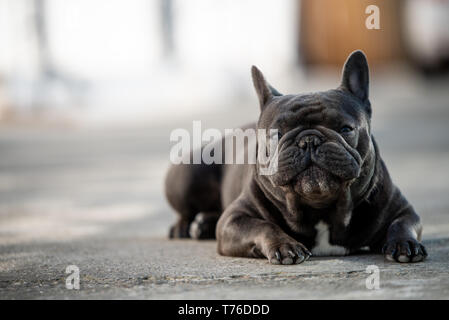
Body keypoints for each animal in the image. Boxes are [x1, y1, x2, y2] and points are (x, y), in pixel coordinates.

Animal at [165, 50, 428, 264]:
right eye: (277, 134)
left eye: (345, 129)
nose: (308, 140)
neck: (321, 209)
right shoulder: (234, 220)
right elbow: (263, 226)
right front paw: (285, 245)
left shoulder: (402, 209)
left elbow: (401, 223)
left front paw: (406, 244)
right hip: (188, 173)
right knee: (186, 210)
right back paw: (185, 227)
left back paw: (202, 224)